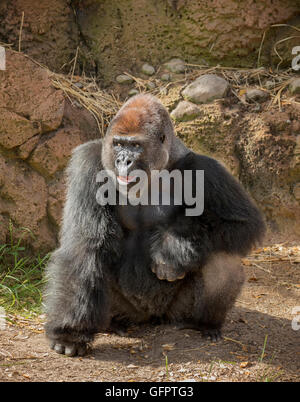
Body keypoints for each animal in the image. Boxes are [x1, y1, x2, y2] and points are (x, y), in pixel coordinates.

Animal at [44, 93, 264, 354]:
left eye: (136, 146)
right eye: (118, 144)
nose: (123, 161)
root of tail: (152, 319)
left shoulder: (206, 168)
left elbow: (242, 224)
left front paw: (172, 249)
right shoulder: (88, 162)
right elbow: (86, 243)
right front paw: (70, 335)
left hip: (174, 312)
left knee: (222, 254)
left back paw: (204, 324)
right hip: (130, 312)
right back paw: (114, 324)